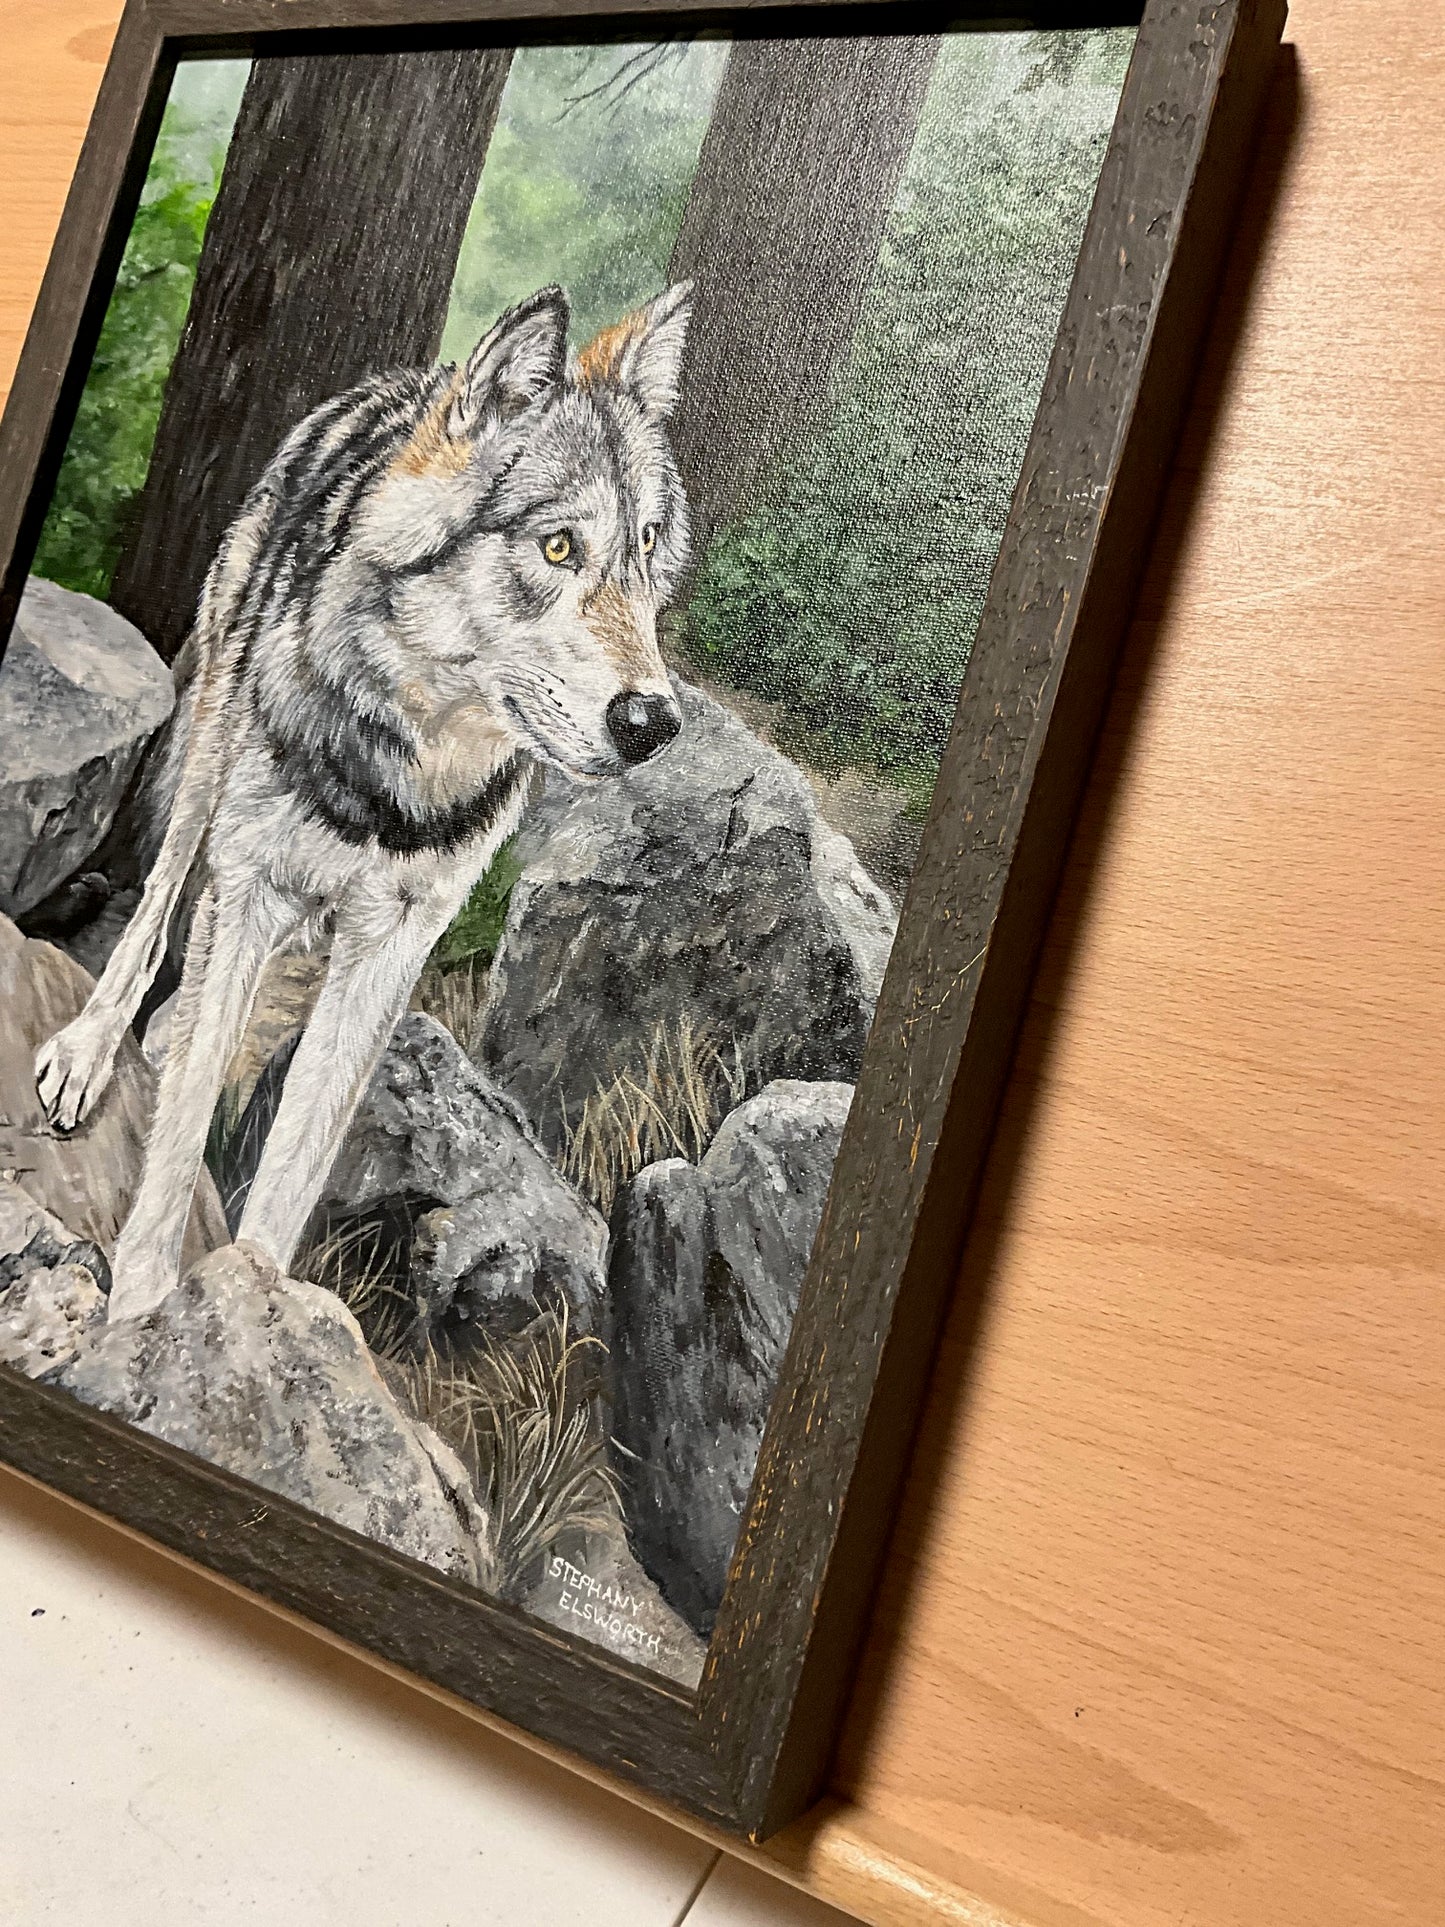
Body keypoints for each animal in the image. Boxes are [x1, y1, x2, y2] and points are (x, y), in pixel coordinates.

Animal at [35, 281, 693, 1323]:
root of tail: (396, 380)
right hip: (208, 749)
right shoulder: (251, 887)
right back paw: (90, 1048)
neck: (403, 777)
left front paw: (258, 1304)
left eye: (646, 547)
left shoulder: (391, 949)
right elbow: (178, 1138)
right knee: (157, 908)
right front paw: (143, 1310)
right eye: (556, 546)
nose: (653, 721)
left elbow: (296, 1159)